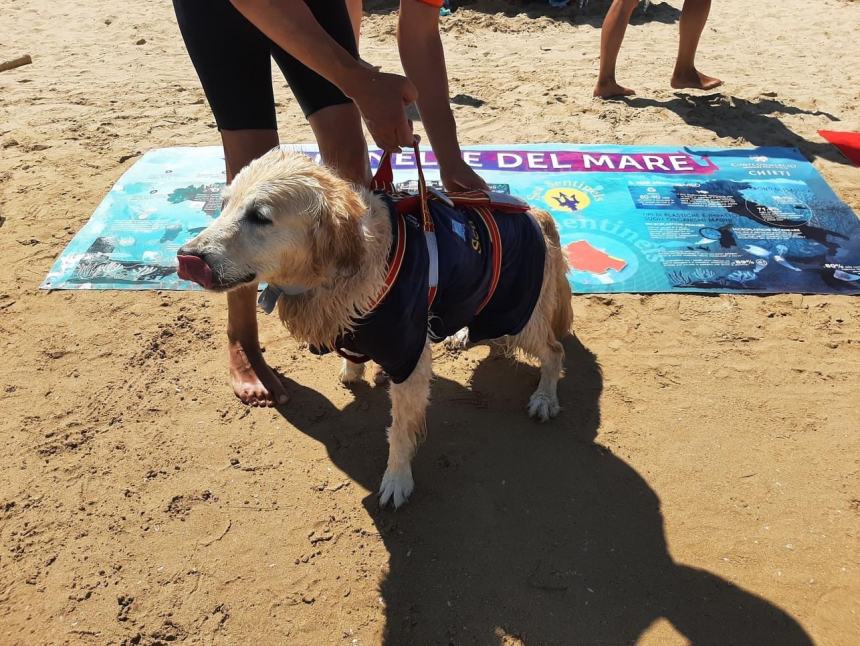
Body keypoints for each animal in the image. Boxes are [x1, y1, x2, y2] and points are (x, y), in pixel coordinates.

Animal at [176, 149, 572, 508]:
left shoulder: (408, 353)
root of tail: (536, 213)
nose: (187, 257)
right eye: (223, 204)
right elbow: (355, 359)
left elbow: (399, 431)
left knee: (555, 351)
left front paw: (397, 480)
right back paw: (461, 335)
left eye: (260, 216)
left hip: (517, 312)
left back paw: (544, 398)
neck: (339, 271)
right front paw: (354, 370)